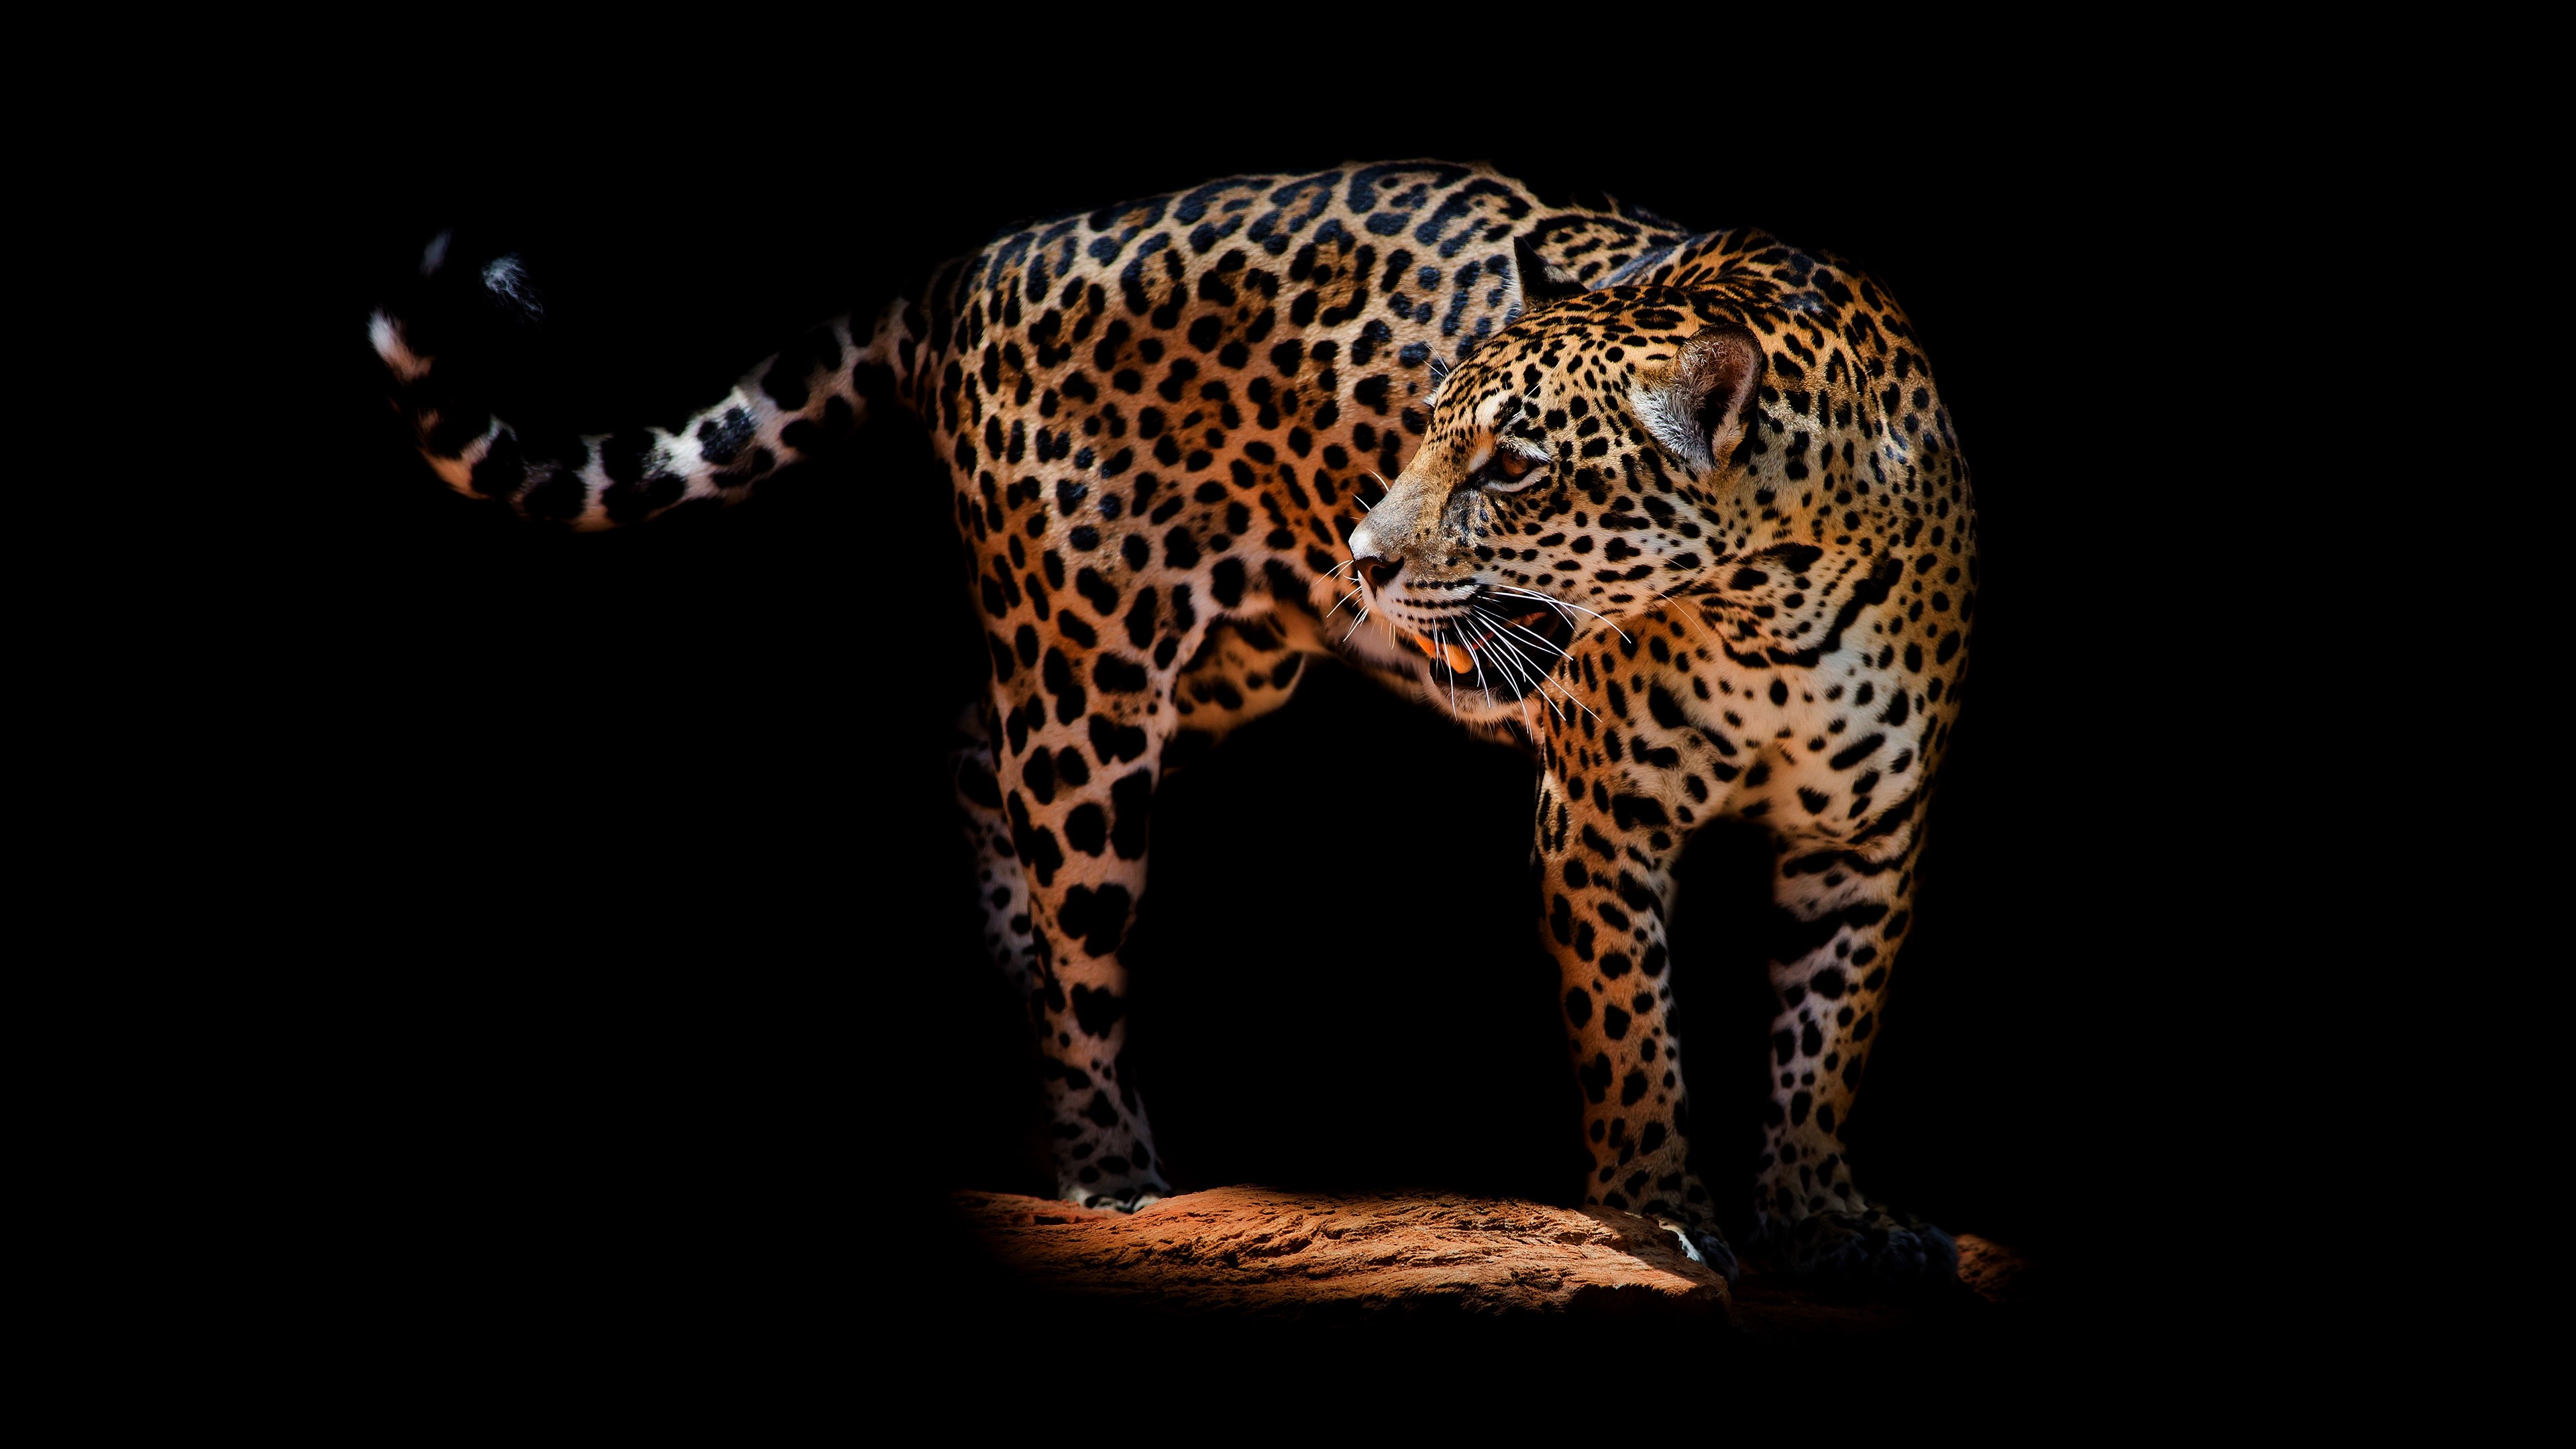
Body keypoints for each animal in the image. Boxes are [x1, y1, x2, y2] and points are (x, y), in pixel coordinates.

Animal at [368, 161, 1976, 1282]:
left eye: (1513, 465)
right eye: (1427, 426)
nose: (1366, 555)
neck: (1767, 601)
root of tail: (974, 263)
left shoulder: (1872, 836)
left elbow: (1826, 1035)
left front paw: (1825, 1218)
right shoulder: (1600, 819)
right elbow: (1633, 1029)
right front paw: (1654, 1212)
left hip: (1217, 667)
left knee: (969, 743)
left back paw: (1011, 962)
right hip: (1094, 684)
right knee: (1070, 902)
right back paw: (1107, 1162)